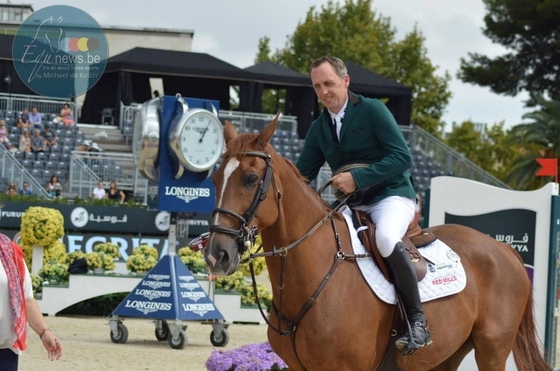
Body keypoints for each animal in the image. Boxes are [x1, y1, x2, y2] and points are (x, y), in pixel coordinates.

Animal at [202, 117, 552, 371]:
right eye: (215, 179)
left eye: (250, 179)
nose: (217, 254)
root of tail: (504, 249)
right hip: (447, 354)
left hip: (492, 349)